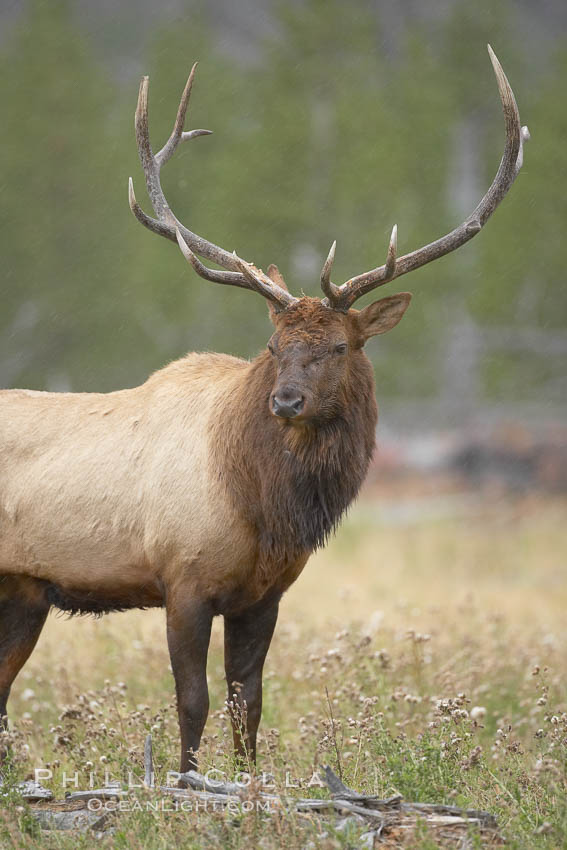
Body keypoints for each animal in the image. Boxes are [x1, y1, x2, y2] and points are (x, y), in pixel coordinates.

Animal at [2, 44, 532, 776]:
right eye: (273, 345)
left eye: (338, 345)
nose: (286, 400)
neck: (264, 504)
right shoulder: (183, 579)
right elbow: (193, 703)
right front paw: (186, 783)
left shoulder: (266, 594)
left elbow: (247, 705)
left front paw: (248, 785)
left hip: (22, 593)